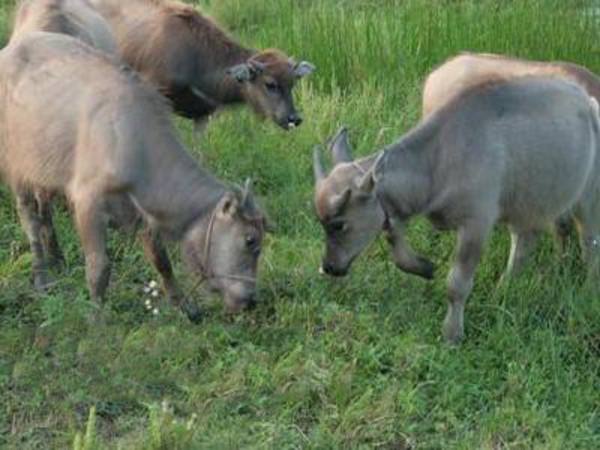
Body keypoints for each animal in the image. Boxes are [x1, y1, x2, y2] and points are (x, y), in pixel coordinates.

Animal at [0, 32, 268, 316]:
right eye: (250, 240)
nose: (251, 300)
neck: (133, 142)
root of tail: (13, 47)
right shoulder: (87, 203)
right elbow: (99, 268)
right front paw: (96, 317)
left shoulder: (142, 213)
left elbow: (161, 260)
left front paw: (184, 307)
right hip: (16, 166)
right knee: (30, 218)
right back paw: (42, 277)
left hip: (43, 169)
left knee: (45, 211)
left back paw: (57, 259)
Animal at [314, 78, 600, 344]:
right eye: (322, 224)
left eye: (339, 224)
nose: (329, 267)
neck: (440, 160)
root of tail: (587, 102)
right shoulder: (399, 209)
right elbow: (396, 246)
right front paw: (424, 267)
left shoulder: (475, 225)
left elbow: (457, 284)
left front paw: (452, 334)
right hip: (532, 202)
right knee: (532, 240)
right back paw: (513, 285)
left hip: (587, 200)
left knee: (589, 244)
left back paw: (588, 290)